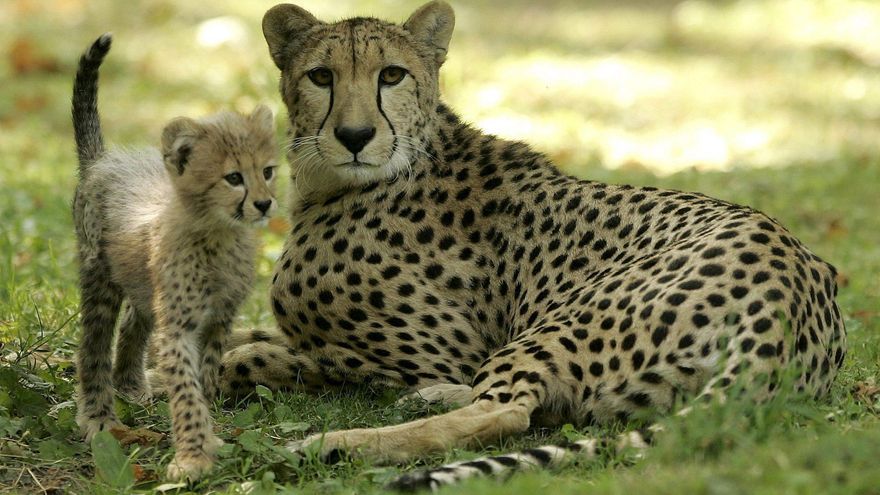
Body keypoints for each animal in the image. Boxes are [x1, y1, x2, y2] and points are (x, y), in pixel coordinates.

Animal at [70, 34, 278, 481]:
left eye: (267, 171)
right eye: (233, 177)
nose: (265, 203)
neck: (219, 236)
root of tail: (105, 159)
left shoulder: (218, 320)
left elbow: (206, 376)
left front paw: (209, 433)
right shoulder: (180, 327)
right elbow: (186, 390)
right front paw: (193, 457)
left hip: (147, 289)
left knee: (134, 325)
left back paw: (131, 385)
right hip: (99, 277)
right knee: (93, 347)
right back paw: (99, 416)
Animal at [219, 1, 846, 490]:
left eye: (391, 75)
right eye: (321, 76)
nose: (354, 136)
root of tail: (792, 291)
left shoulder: (424, 353)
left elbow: (258, 357)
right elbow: (243, 336)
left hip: (565, 319)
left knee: (505, 413)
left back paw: (329, 445)